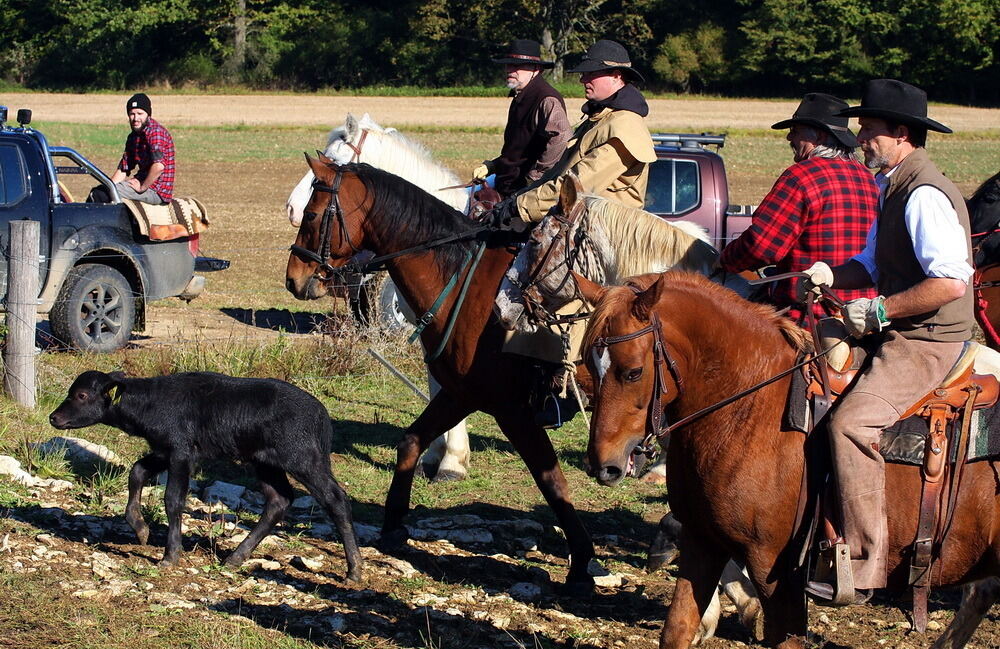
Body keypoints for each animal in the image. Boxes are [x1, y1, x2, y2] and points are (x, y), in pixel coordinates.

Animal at [49, 372, 364, 580]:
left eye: (82, 395)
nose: (54, 417)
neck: (149, 404)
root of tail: (321, 416)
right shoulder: (164, 450)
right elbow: (137, 472)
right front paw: (140, 528)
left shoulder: (180, 453)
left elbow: (173, 500)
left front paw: (170, 555)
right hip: (265, 462)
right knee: (279, 501)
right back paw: (235, 558)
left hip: (303, 459)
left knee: (336, 499)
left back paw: (354, 571)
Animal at [286, 157, 596, 588]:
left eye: (313, 215)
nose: (293, 279)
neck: (470, 287)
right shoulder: (461, 394)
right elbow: (411, 441)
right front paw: (394, 524)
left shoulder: (512, 411)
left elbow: (551, 481)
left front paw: (582, 561)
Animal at [576, 270, 1000, 648]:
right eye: (587, 365)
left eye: (633, 372)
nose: (603, 464)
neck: (750, 406)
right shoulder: (702, 540)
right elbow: (676, 629)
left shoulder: (774, 570)